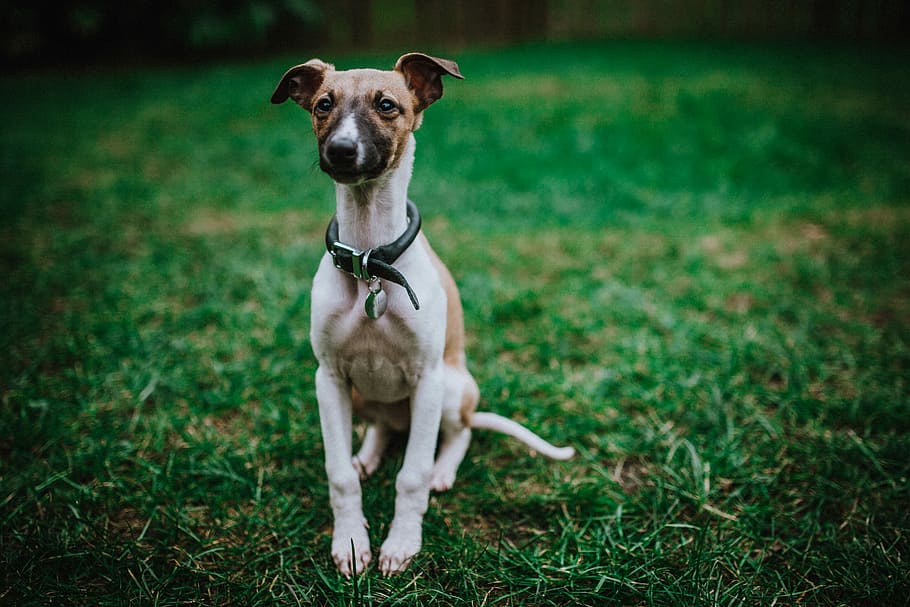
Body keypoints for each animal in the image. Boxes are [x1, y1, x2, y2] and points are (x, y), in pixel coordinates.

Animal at [268, 53, 576, 580]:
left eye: (387, 105)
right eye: (324, 104)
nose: (341, 151)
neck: (370, 259)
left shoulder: (428, 378)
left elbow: (411, 475)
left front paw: (400, 544)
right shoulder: (328, 378)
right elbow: (337, 474)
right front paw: (351, 542)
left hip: (452, 390)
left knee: (458, 433)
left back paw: (443, 470)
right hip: (361, 393)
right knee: (382, 427)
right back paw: (367, 455)